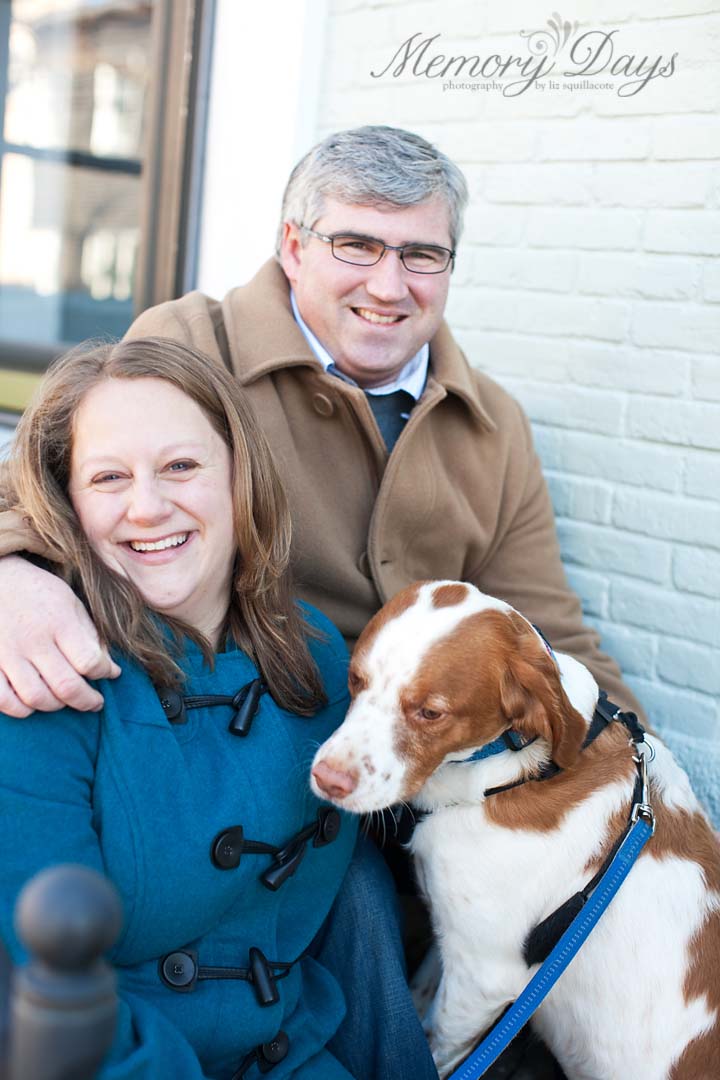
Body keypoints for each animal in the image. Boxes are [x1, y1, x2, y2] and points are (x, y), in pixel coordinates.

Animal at [311, 581, 720, 1080]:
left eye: (431, 713)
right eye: (355, 679)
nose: (327, 779)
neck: (516, 772)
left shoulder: (482, 977)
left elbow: (435, 1046)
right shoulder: (452, 941)